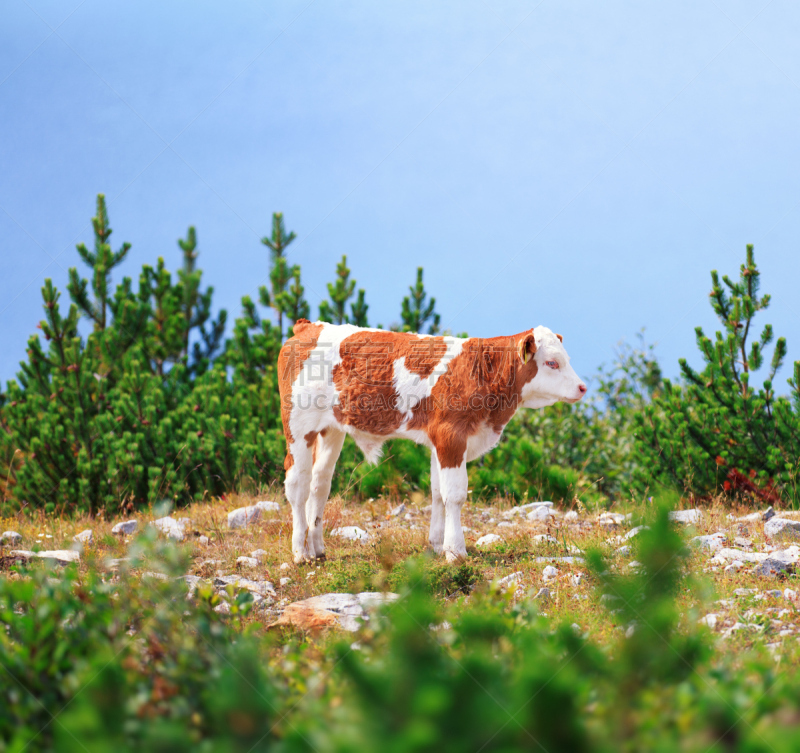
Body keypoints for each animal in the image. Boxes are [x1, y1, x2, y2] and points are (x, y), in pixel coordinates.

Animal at [278, 318, 584, 564]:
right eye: (552, 363)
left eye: (567, 359)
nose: (582, 387)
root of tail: (308, 326)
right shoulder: (451, 435)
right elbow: (455, 495)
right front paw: (456, 551)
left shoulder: (439, 441)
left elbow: (438, 493)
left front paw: (437, 546)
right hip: (297, 427)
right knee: (297, 485)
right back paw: (300, 554)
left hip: (331, 430)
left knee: (319, 484)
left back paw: (317, 549)